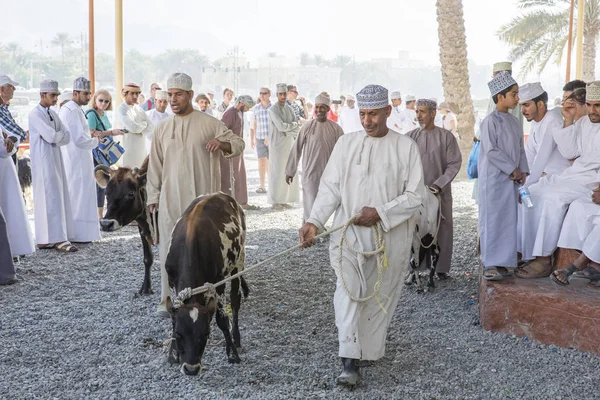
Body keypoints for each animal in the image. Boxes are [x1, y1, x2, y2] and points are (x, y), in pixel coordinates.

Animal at [93, 155, 155, 294]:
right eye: (106, 193)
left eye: (130, 193)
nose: (106, 224)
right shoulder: (142, 228)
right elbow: (147, 258)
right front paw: (145, 288)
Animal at [165, 192, 247, 376]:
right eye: (179, 335)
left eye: (205, 335)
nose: (191, 369)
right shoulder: (171, 281)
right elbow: (173, 317)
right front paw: (173, 354)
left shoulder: (218, 283)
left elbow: (222, 319)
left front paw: (232, 353)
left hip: (238, 261)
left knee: (235, 300)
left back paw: (237, 339)